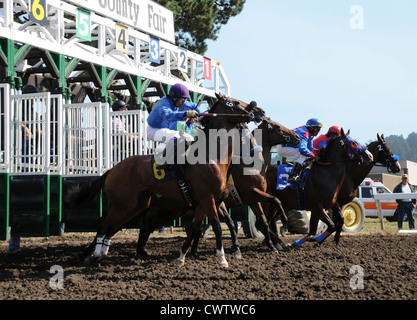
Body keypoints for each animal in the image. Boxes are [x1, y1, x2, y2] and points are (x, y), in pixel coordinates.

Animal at [66, 93, 264, 268]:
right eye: (233, 103)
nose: (259, 111)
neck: (212, 156)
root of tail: (112, 170)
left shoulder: (207, 201)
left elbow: (198, 226)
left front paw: (182, 256)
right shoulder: (207, 198)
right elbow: (216, 226)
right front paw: (222, 259)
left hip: (136, 205)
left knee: (113, 226)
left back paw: (99, 253)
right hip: (124, 203)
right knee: (104, 224)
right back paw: (94, 254)